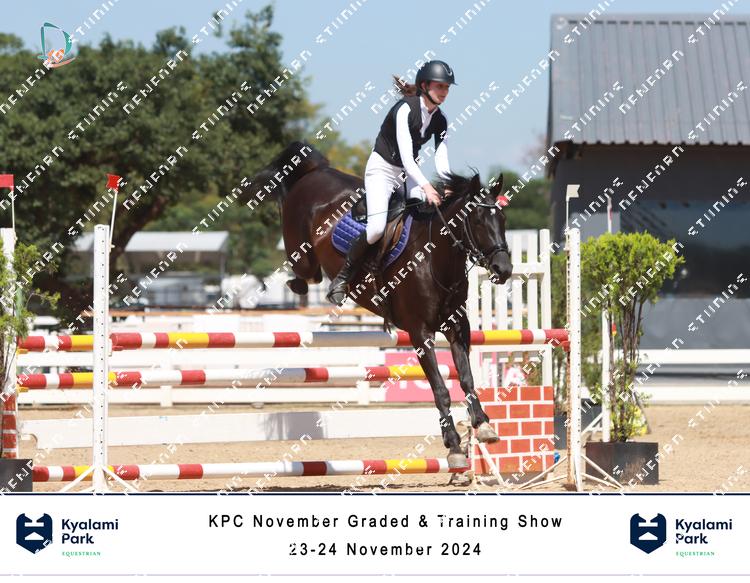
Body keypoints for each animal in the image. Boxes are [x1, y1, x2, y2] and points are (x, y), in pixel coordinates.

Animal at [249, 141, 513, 469]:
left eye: (503, 220)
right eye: (477, 220)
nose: (504, 269)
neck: (435, 260)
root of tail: (317, 171)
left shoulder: (457, 329)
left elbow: (466, 378)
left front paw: (483, 424)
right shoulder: (420, 333)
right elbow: (440, 388)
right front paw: (453, 446)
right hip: (302, 253)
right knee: (305, 273)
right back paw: (323, 286)